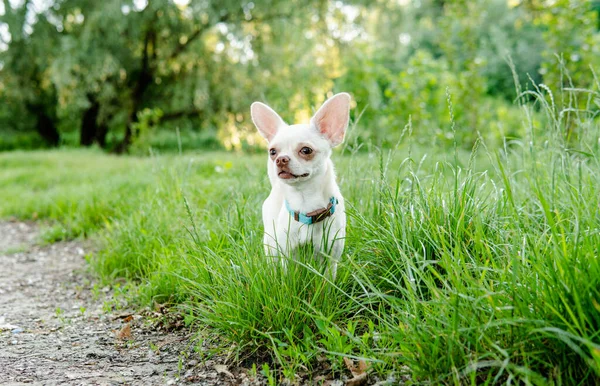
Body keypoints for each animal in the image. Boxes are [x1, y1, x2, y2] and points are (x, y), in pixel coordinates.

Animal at [250, 92, 352, 278]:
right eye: (272, 152)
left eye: (306, 150)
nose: (280, 159)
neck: (305, 201)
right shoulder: (289, 255)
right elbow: (290, 276)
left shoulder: (330, 256)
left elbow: (327, 280)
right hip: (270, 242)